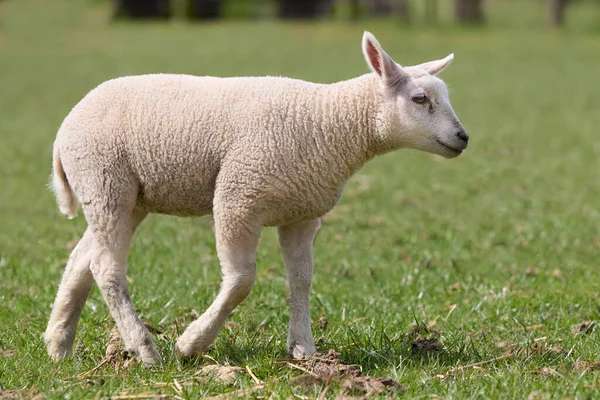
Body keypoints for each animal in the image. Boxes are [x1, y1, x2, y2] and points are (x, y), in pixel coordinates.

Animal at [44, 30, 472, 362]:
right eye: (419, 99)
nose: (463, 137)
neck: (330, 123)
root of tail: (64, 129)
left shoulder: (301, 213)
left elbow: (301, 279)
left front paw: (304, 349)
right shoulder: (237, 198)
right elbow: (241, 281)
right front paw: (191, 343)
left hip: (125, 196)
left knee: (82, 259)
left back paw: (58, 344)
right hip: (105, 182)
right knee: (107, 268)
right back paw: (144, 349)